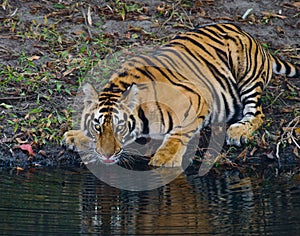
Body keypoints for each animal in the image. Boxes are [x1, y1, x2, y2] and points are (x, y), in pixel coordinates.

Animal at [62, 21, 298, 166]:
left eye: (119, 127)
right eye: (97, 126)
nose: (106, 155)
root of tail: (251, 37)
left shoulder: (199, 99)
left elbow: (179, 132)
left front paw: (165, 159)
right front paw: (75, 136)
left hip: (246, 75)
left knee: (257, 113)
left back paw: (238, 132)